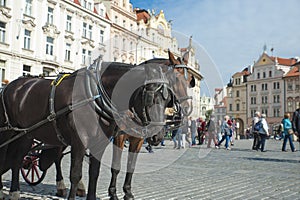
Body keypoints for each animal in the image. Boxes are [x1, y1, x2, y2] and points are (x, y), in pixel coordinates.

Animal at [0, 57, 173, 199]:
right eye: (150, 97)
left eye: (168, 100)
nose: (158, 136)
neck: (95, 96)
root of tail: (10, 86)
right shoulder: (80, 141)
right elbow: (75, 174)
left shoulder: (100, 143)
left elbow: (94, 173)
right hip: (9, 132)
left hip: (26, 135)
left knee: (18, 159)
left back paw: (14, 192)